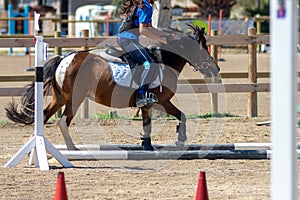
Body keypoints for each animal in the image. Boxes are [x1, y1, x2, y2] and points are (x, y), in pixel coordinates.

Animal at [5, 25, 220, 150]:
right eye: (203, 47)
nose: (215, 69)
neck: (164, 61)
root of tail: (64, 58)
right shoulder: (161, 101)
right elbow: (179, 116)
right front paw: (179, 139)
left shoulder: (151, 104)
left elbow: (153, 122)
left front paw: (149, 145)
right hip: (74, 98)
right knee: (63, 122)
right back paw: (72, 148)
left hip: (59, 98)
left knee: (44, 116)